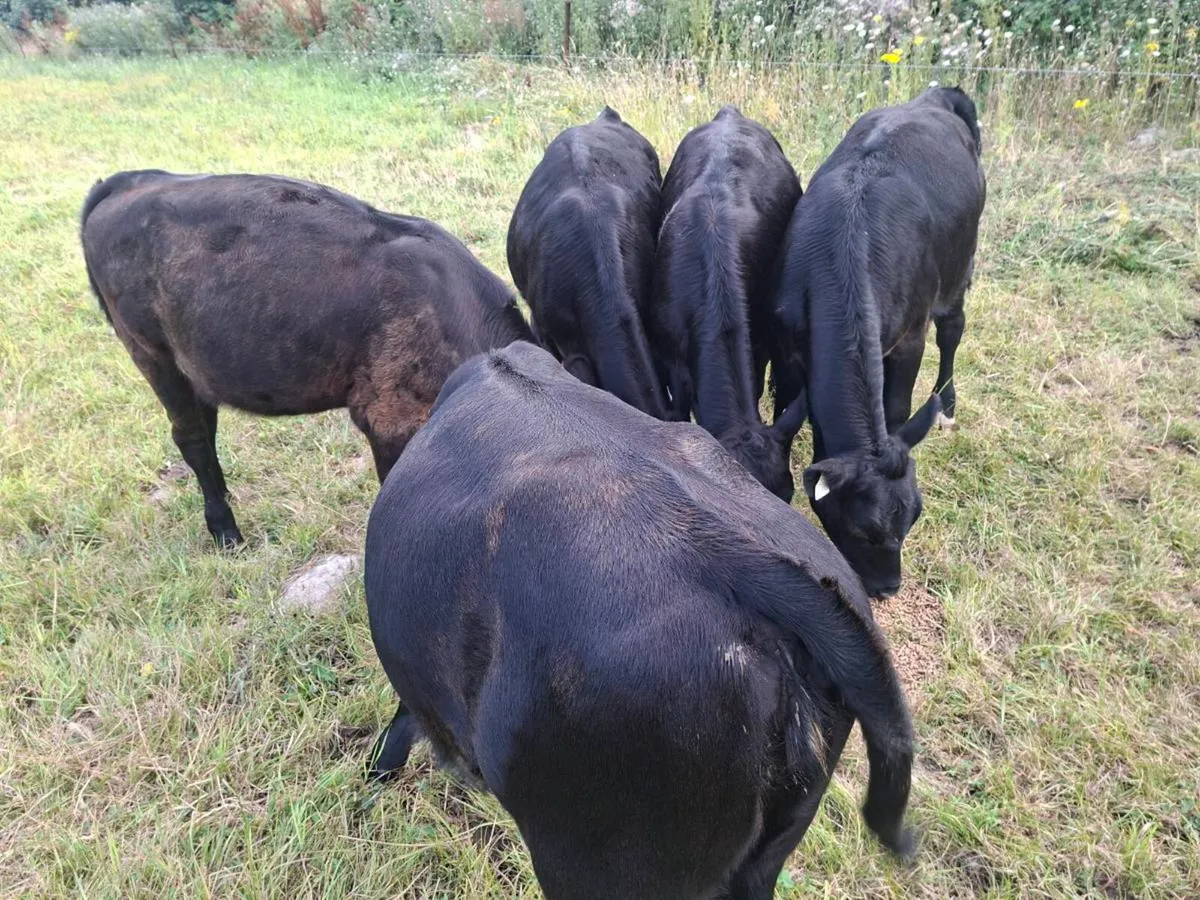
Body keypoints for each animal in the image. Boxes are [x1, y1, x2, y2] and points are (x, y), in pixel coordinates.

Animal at [771, 86, 986, 598]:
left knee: (953, 332)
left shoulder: (910, 340)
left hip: (960, 267)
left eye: (914, 517)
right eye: (861, 529)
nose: (888, 588)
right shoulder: (785, 346)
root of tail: (937, 97)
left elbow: (897, 410)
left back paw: (947, 405)